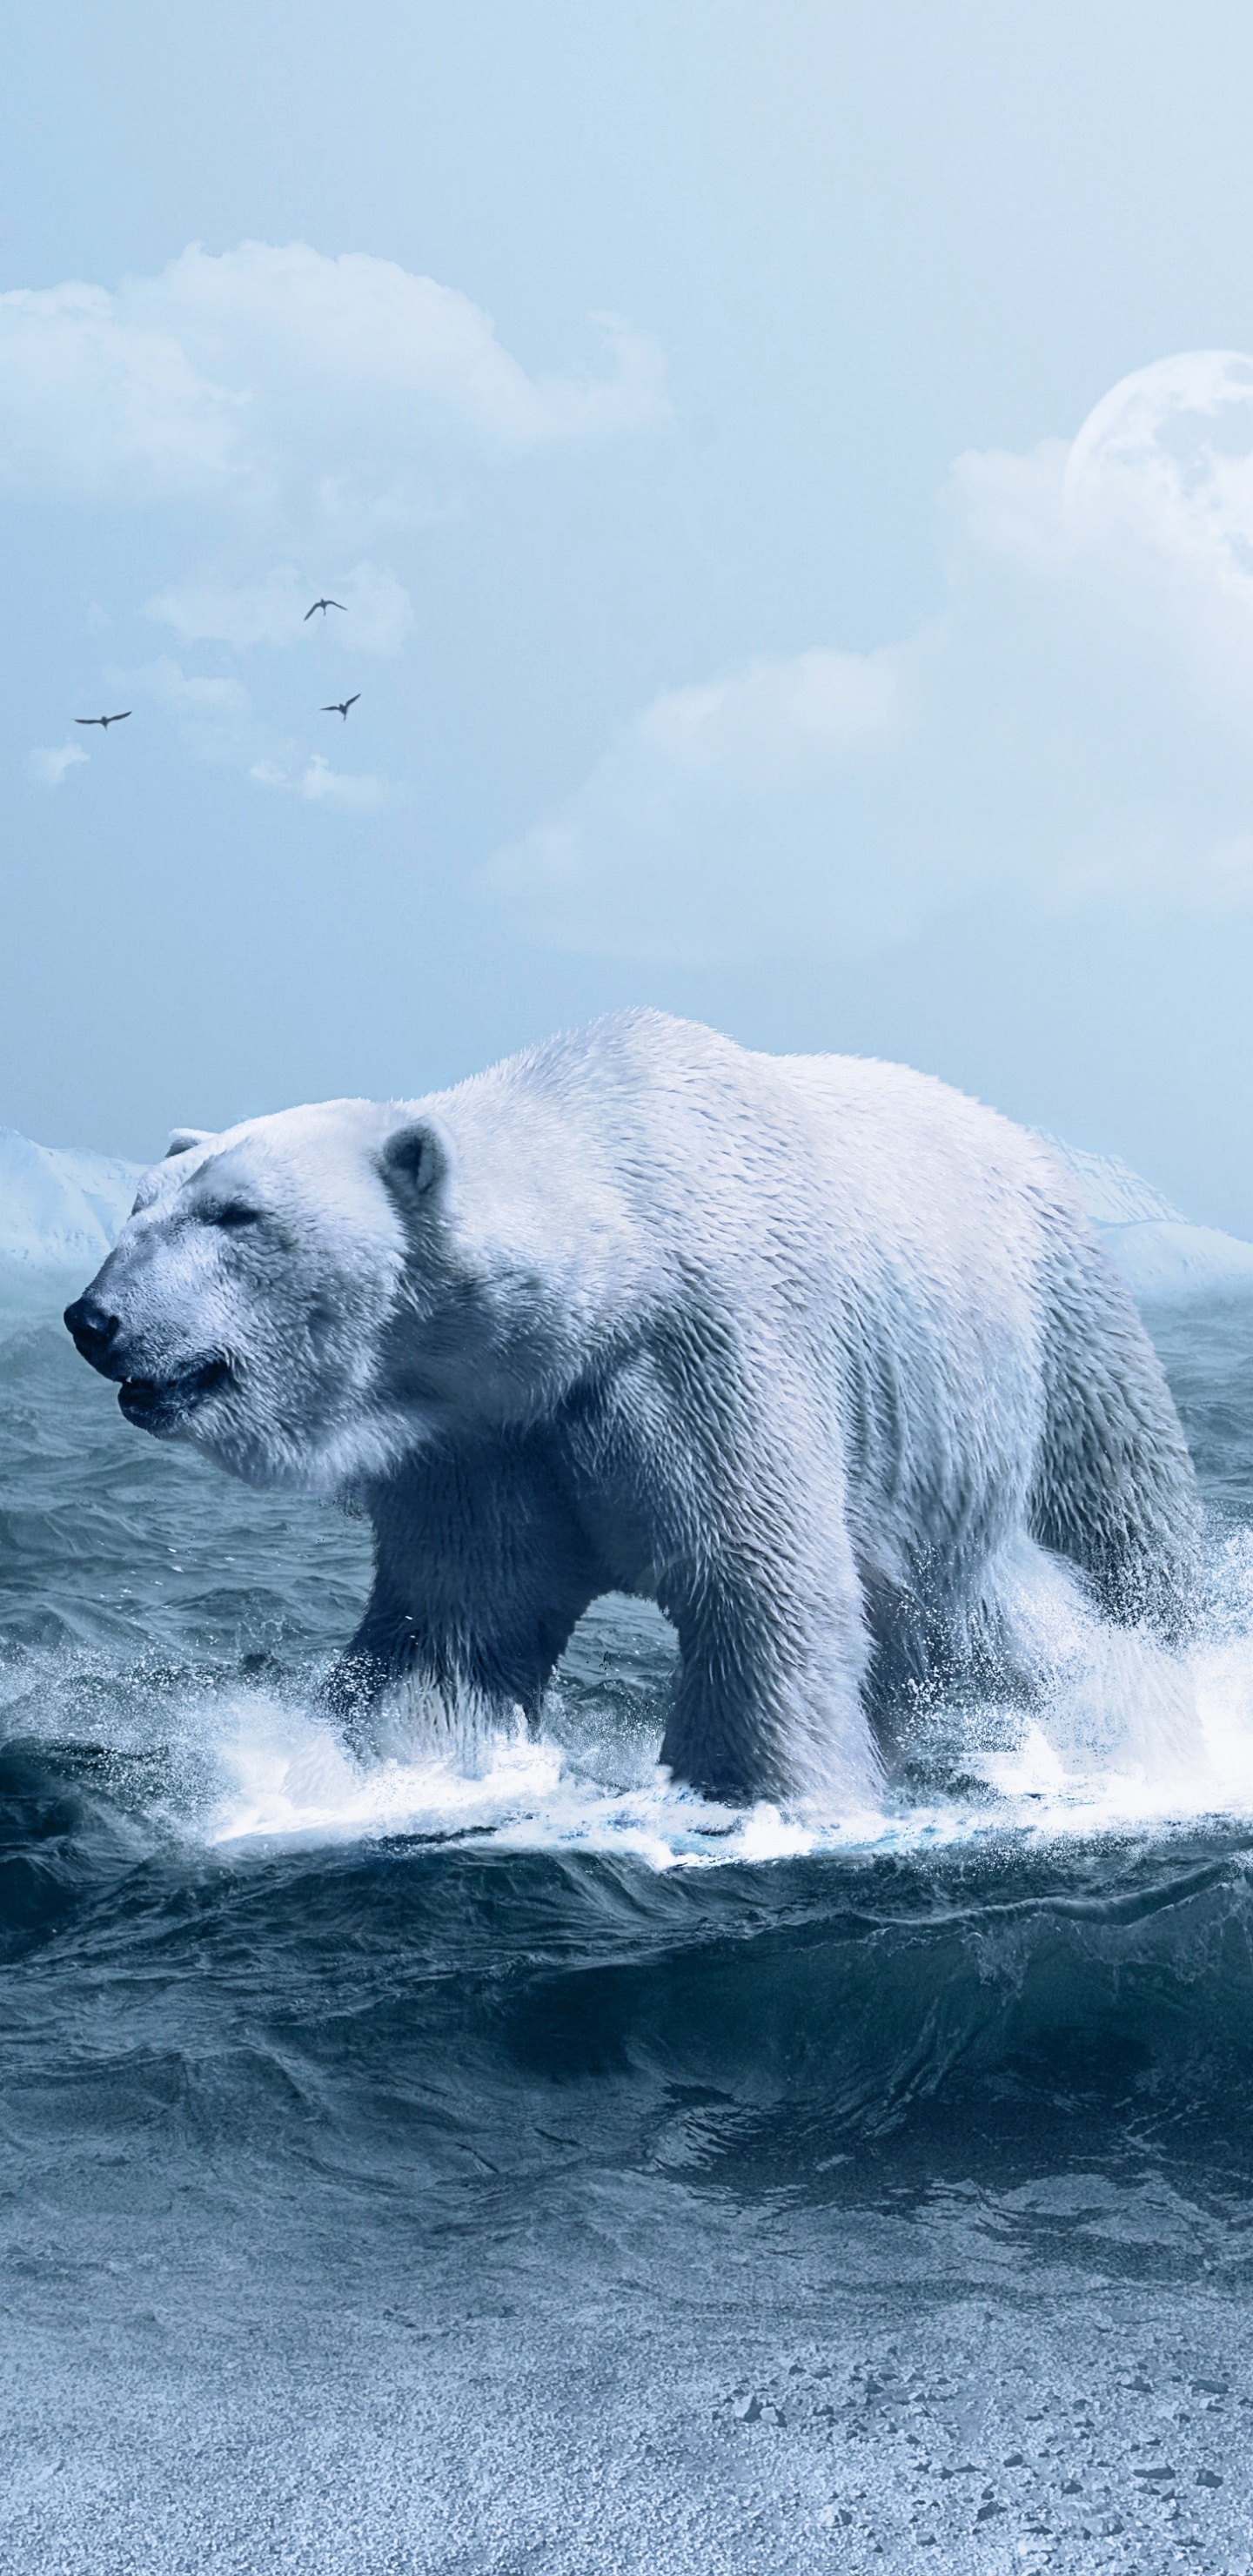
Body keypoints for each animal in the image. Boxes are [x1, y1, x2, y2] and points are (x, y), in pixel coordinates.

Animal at [64, 1010, 1200, 1809]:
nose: (92, 1318)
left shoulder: (711, 1355)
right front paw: (380, 1767)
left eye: (236, 1214)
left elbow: (757, 1586)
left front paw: (757, 1794)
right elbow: (454, 1623)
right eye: (139, 1205)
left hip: (1057, 1336)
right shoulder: (486, 1435)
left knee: (1098, 1548)